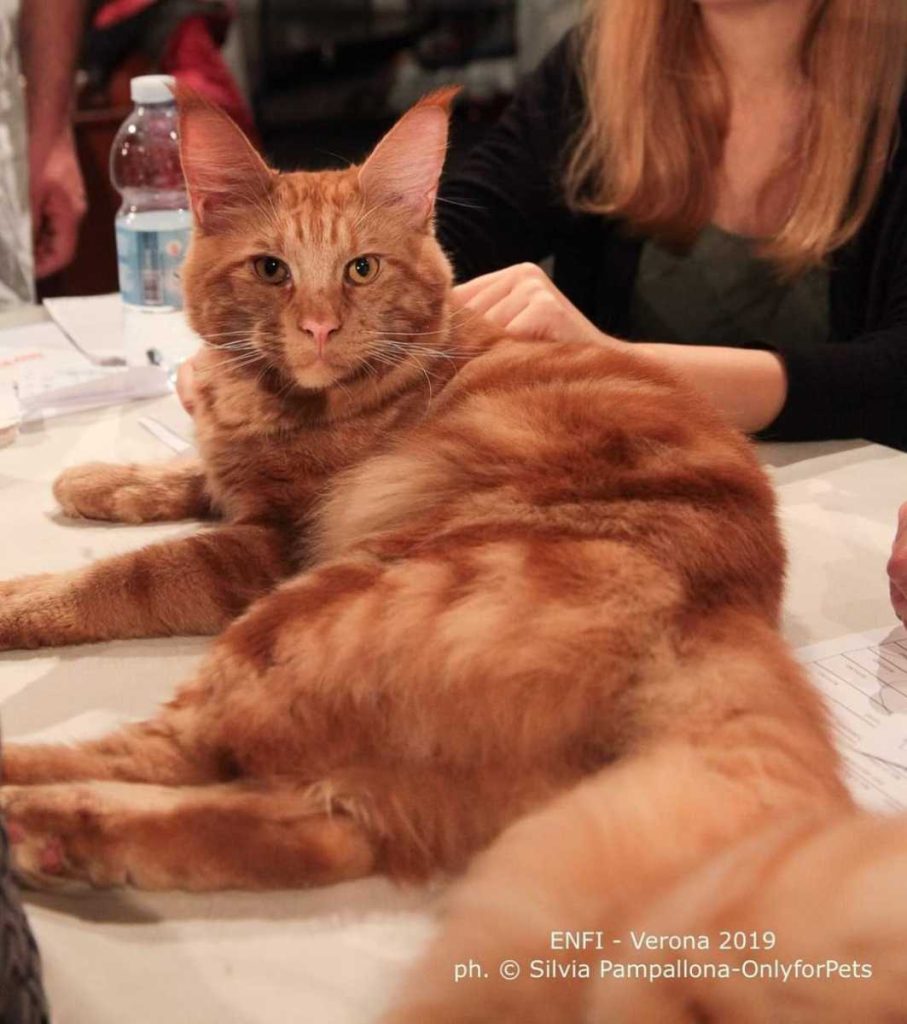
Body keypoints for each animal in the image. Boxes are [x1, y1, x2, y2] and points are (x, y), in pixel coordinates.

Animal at [0, 82, 849, 963]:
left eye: (360, 269)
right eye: (271, 270)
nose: (317, 327)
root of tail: (722, 614)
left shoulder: (270, 543)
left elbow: (121, 575)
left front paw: (22, 595)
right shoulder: (239, 484)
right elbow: (181, 474)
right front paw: (92, 479)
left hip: (307, 610)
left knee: (171, 753)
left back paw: (28, 810)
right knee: (315, 833)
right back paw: (63, 842)